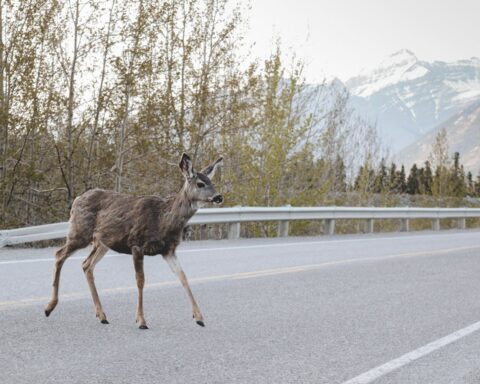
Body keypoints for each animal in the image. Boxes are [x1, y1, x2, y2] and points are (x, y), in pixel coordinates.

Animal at [44, 154, 224, 328]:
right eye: (200, 183)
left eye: (211, 182)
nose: (218, 197)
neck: (163, 220)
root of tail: (77, 199)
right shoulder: (137, 244)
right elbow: (140, 280)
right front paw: (141, 320)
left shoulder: (168, 250)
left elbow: (183, 276)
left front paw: (199, 318)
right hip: (80, 232)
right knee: (59, 255)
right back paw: (49, 307)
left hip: (102, 242)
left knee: (86, 264)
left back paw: (102, 315)